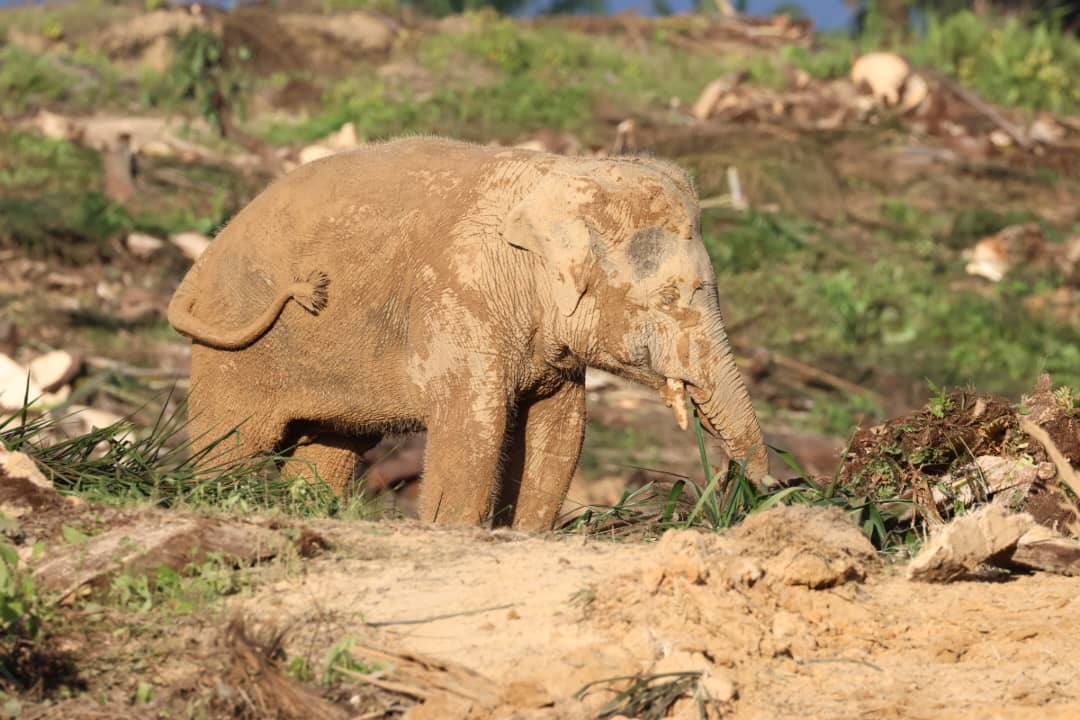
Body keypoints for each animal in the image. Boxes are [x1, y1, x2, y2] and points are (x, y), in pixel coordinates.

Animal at [167, 136, 770, 531]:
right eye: (670, 298)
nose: (758, 490)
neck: (566, 176)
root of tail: (202, 262)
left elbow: (561, 432)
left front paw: (522, 536)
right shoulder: (461, 299)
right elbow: (474, 430)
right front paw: (453, 530)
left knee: (330, 450)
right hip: (235, 346)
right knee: (233, 443)